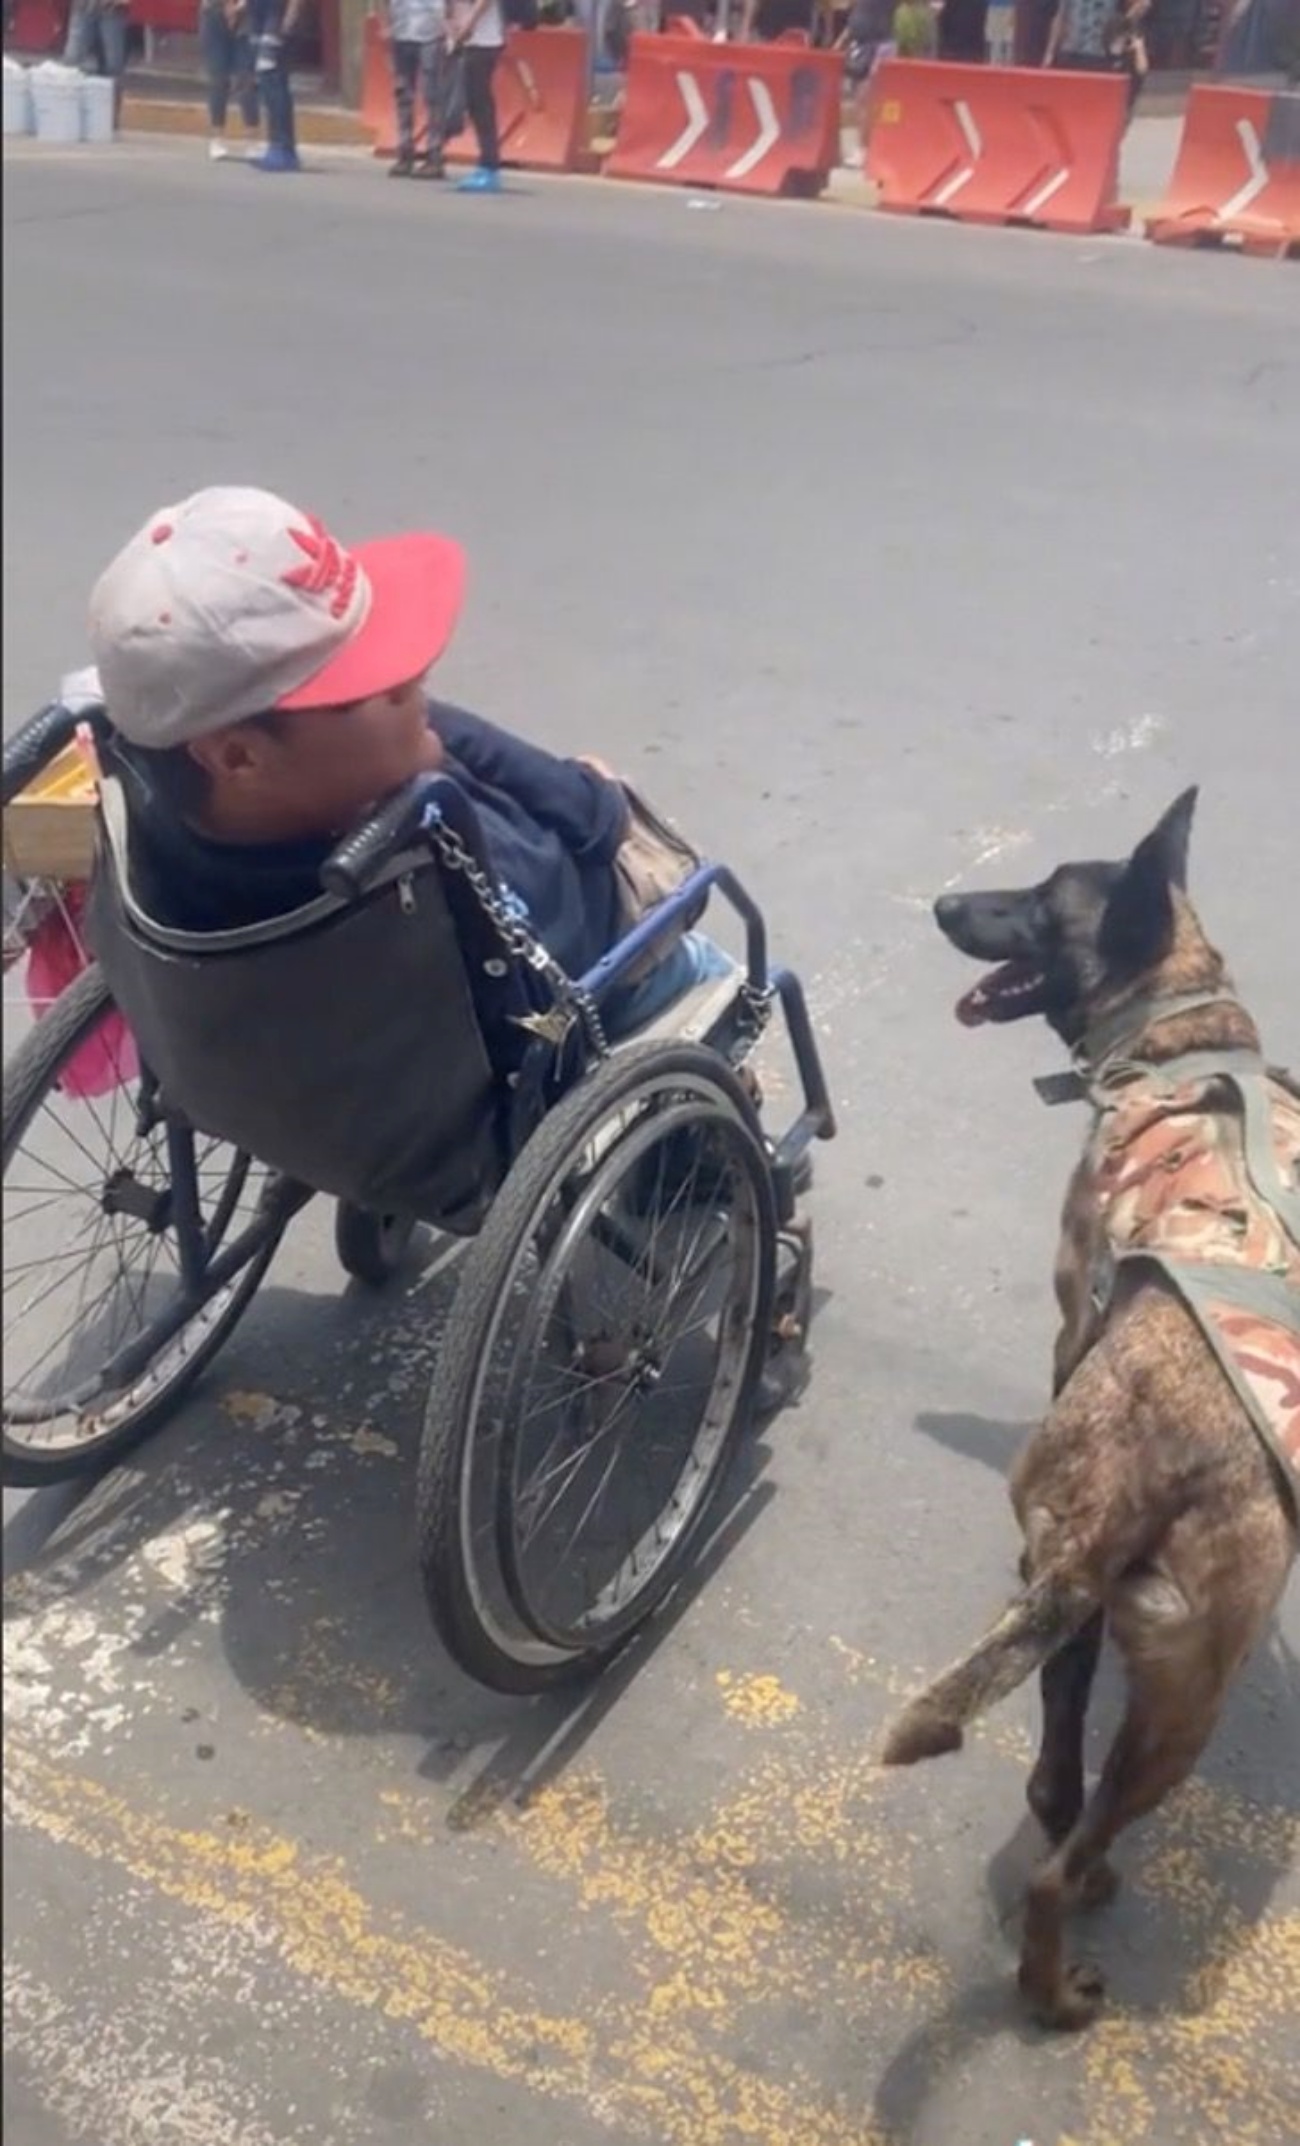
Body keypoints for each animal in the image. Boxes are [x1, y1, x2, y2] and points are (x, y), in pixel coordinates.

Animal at [879, 789, 1295, 2025]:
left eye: (1035, 901)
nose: (944, 902)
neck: (1182, 1031)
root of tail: (1148, 1469)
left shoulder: (1075, 1317)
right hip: (1182, 1691)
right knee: (1066, 1822)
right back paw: (1065, 1965)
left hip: (1132, 1651)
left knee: (1059, 1810)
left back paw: (1058, 1978)